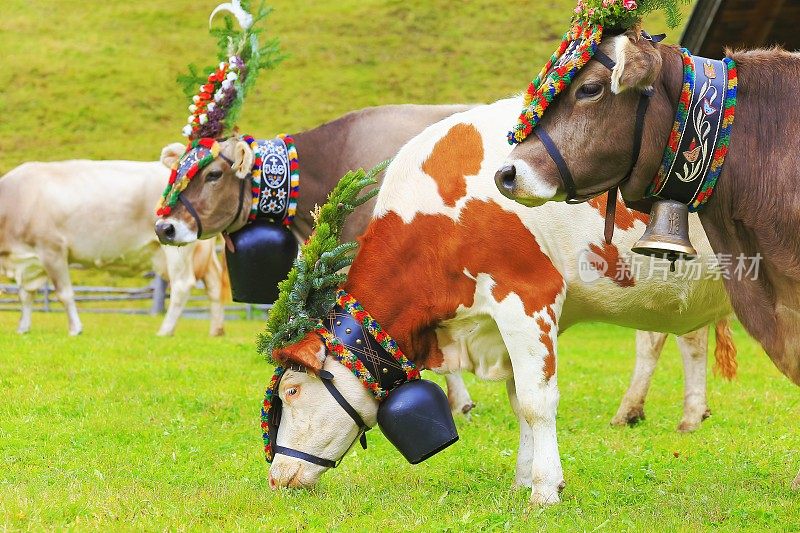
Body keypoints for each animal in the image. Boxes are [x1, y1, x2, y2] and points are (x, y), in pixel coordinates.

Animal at [266, 98, 736, 502]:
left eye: (292, 390)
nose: (275, 477)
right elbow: (518, 402)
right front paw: (524, 481)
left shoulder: (527, 297)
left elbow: (535, 402)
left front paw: (544, 490)